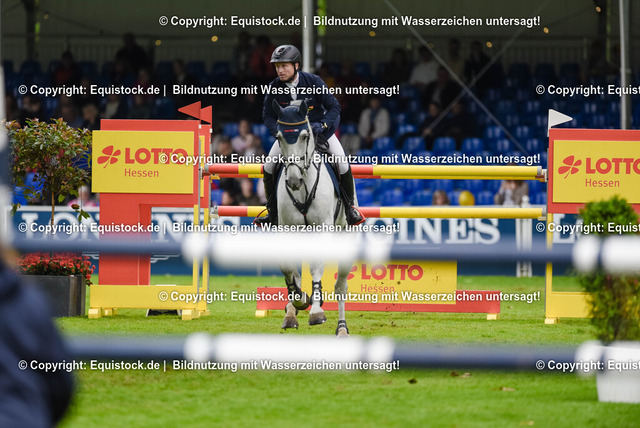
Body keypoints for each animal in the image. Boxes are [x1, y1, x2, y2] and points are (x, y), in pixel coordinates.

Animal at [270, 99, 353, 337]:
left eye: (305, 136)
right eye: (279, 137)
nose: (293, 181)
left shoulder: (322, 229)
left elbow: (317, 267)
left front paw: (316, 311)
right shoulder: (286, 230)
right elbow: (288, 268)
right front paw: (299, 300)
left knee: (341, 287)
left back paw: (342, 328)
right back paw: (291, 314)